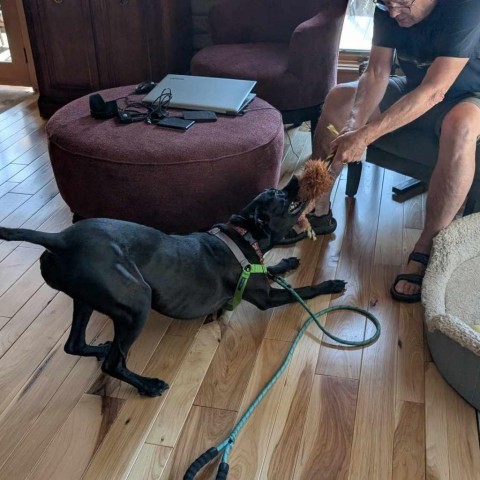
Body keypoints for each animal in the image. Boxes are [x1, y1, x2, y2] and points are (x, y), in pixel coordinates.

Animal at [0, 175, 344, 394]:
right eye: (278, 195)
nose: (296, 179)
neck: (243, 235)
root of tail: (60, 239)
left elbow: (272, 268)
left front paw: (288, 264)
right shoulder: (265, 297)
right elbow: (303, 291)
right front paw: (331, 283)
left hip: (85, 299)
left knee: (75, 344)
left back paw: (100, 347)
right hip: (136, 301)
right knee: (113, 364)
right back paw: (148, 385)